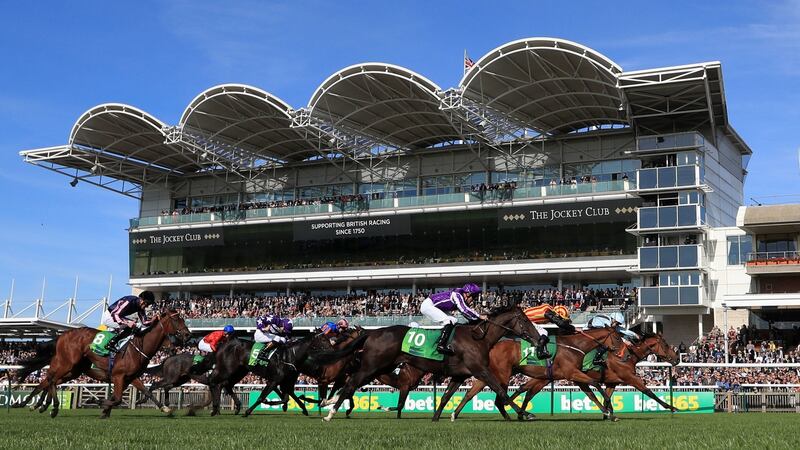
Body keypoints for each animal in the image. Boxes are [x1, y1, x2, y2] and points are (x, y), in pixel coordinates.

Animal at [310, 302, 536, 422]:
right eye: (525, 321)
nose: (538, 339)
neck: (478, 338)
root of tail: (372, 333)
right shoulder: (480, 370)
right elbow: (500, 390)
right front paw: (525, 413)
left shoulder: (459, 375)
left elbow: (445, 397)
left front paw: (436, 418)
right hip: (371, 365)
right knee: (350, 383)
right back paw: (330, 413)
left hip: (382, 367)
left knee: (351, 383)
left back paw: (328, 403)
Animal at [450, 326, 624, 422]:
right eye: (617, 338)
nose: (625, 353)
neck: (574, 345)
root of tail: (490, 347)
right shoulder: (571, 373)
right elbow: (595, 385)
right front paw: (609, 409)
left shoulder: (573, 376)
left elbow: (591, 394)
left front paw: (608, 412)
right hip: (502, 374)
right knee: (499, 397)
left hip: (489, 374)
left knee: (470, 393)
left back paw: (455, 414)